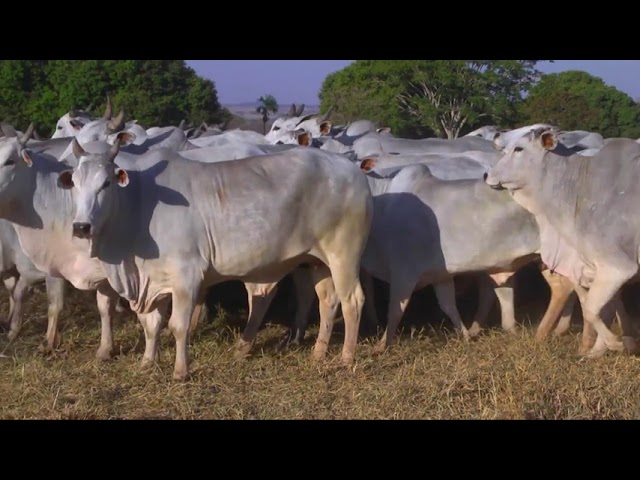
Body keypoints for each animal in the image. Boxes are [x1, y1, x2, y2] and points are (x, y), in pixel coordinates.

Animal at [56, 140, 373, 381]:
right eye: (74, 184)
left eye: (106, 183)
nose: (81, 226)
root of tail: (352, 169)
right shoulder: (153, 281)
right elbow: (152, 325)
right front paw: (147, 362)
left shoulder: (186, 277)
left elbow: (178, 326)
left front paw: (180, 371)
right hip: (318, 262)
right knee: (328, 301)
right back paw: (318, 352)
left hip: (344, 256)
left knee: (353, 301)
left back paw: (346, 357)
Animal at [484, 127, 640, 357]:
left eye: (519, 148)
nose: (486, 175)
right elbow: (601, 309)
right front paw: (596, 351)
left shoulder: (618, 267)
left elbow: (592, 308)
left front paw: (614, 343)